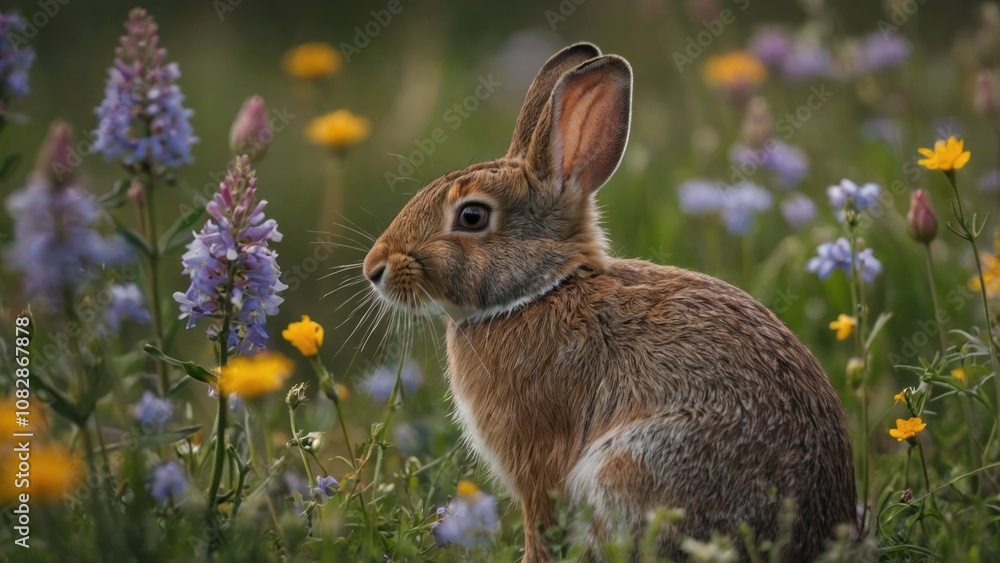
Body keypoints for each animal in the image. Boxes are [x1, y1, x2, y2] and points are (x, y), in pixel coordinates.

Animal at [363, 43, 857, 562]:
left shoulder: (539, 461)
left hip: (631, 464)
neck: (540, 292)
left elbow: (541, 523)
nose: (373, 269)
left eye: (472, 216)